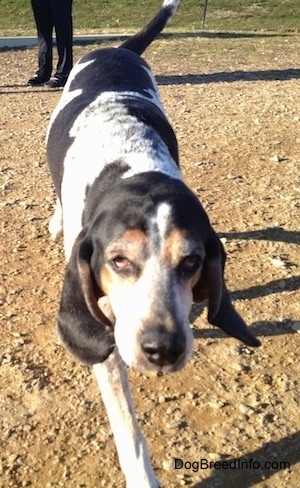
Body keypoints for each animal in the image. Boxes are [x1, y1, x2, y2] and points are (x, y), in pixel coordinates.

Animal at [46, 1, 260, 486]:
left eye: (193, 261)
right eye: (119, 261)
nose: (163, 348)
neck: (129, 167)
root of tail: (117, 49)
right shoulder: (102, 332)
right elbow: (127, 425)